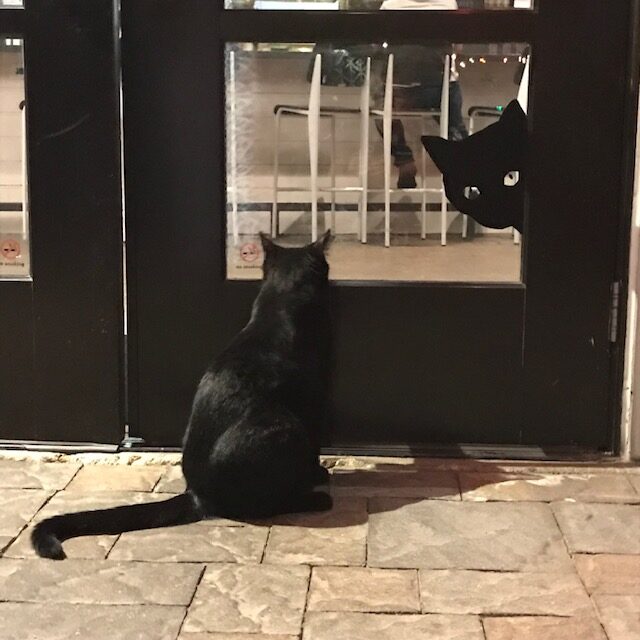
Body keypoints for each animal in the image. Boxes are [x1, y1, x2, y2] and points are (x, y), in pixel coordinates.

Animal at [33, 231, 336, 560]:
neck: (278, 310)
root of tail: (196, 495)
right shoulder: (314, 406)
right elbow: (314, 448)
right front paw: (318, 474)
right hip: (283, 427)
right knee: (263, 506)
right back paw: (315, 499)